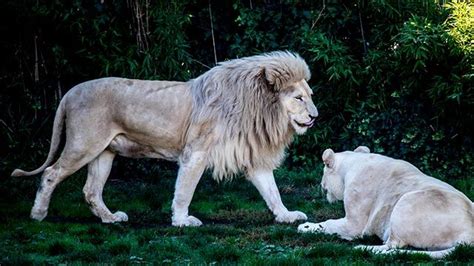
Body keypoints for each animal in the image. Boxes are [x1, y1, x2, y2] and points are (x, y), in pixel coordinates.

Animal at [11, 50, 318, 227]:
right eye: (298, 98)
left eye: (310, 96)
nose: (315, 116)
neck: (259, 110)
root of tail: (70, 92)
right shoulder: (196, 153)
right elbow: (184, 190)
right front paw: (182, 221)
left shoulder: (252, 157)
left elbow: (272, 191)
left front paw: (286, 216)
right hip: (83, 145)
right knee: (51, 173)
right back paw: (38, 214)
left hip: (104, 152)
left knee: (91, 190)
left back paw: (110, 219)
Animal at [298, 147, 472, 258]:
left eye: (325, 169)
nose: (321, 185)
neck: (354, 163)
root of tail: (470, 234)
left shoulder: (354, 224)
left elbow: (328, 224)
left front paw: (305, 227)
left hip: (406, 201)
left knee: (393, 246)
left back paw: (363, 249)